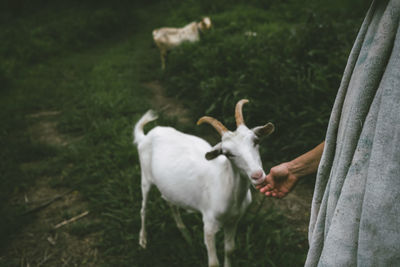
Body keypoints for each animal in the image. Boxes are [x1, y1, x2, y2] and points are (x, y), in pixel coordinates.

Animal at [134, 100, 276, 267]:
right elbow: (213, 262)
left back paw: (185, 233)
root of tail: (146, 136)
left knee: (169, 201)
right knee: (143, 208)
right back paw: (143, 240)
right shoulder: (209, 224)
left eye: (256, 141)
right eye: (227, 153)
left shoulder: (233, 221)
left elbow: (230, 250)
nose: (257, 175)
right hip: (146, 177)